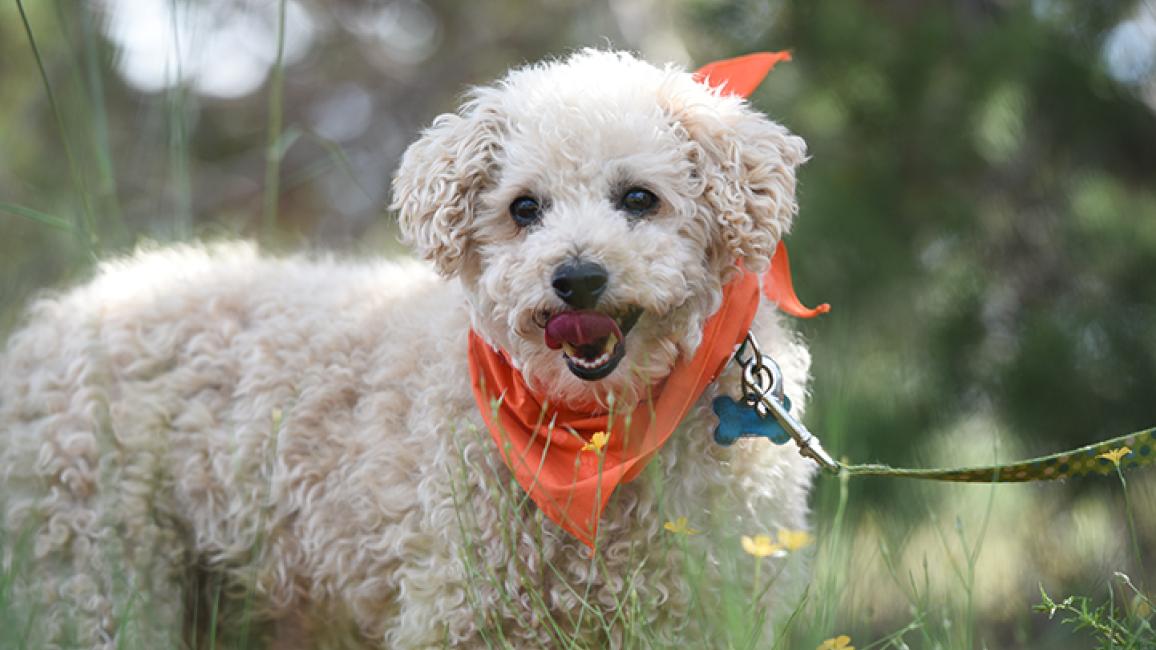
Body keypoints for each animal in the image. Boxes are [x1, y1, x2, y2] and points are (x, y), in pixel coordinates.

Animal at [0, 47, 813, 643]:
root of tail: (57, 318)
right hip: (97, 574)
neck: (600, 434)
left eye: (640, 198)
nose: (576, 278)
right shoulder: (462, 606)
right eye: (524, 209)